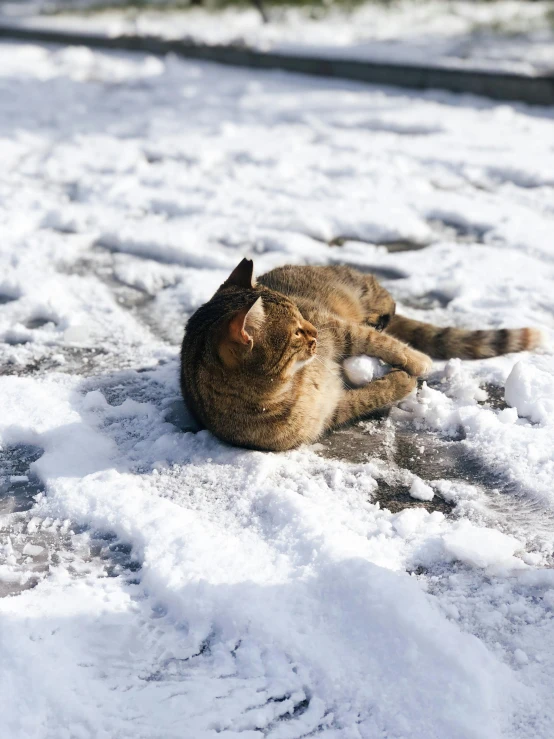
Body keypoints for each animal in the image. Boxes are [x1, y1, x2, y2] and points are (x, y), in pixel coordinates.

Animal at [180, 260, 540, 456]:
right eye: (295, 332)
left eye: (300, 313)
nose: (312, 330)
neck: (291, 386)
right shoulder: (330, 412)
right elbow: (368, 397)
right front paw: (400, 381)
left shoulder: (335, 327)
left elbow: (373, 340)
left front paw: (416, 361)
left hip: (356, 289)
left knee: (383, 298)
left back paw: (380, 316)